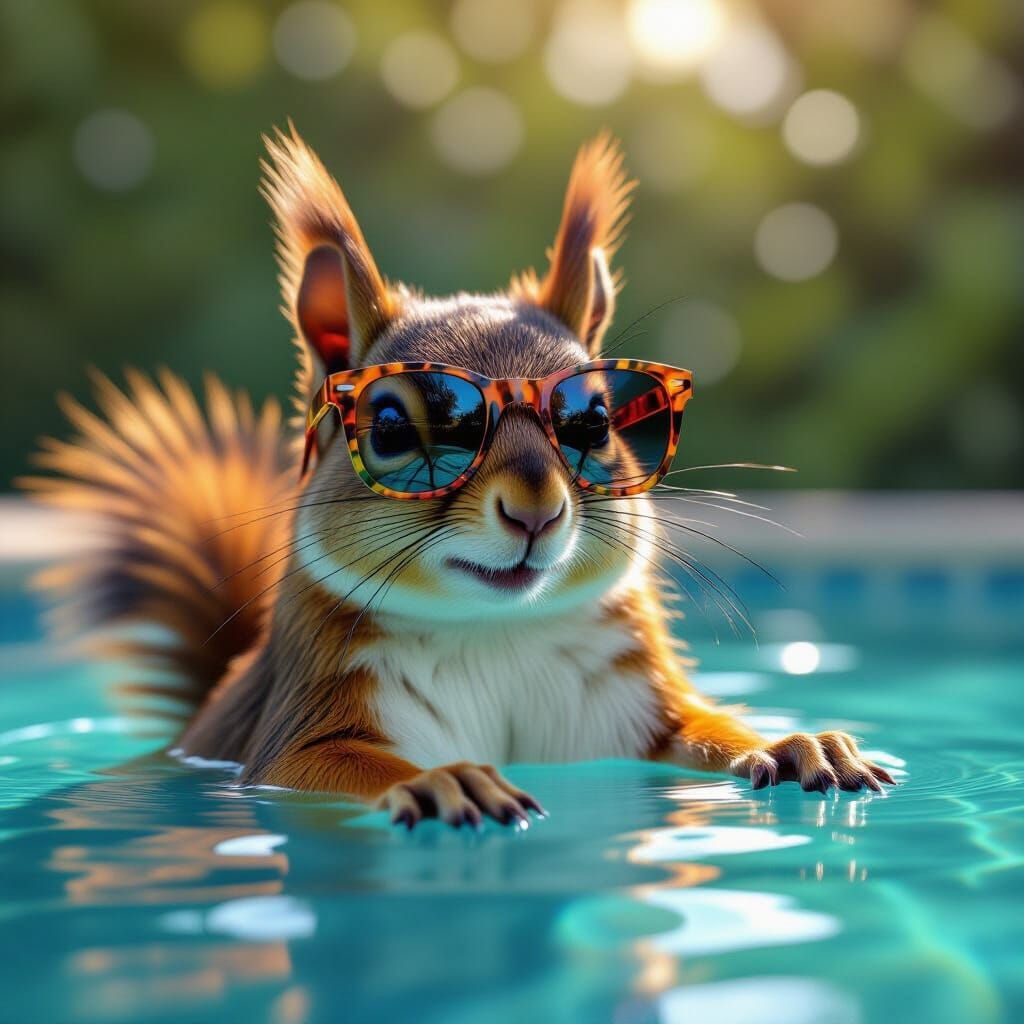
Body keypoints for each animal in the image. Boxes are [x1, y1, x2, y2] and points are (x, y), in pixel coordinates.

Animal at [25, 126, 894, 828]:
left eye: (595, 419)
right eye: (391, 427)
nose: (535, 512)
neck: (496, 634)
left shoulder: (633, 709)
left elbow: (697, 730)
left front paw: (796, 742)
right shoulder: (307, 722)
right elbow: (329, 764)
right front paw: (445, 781)